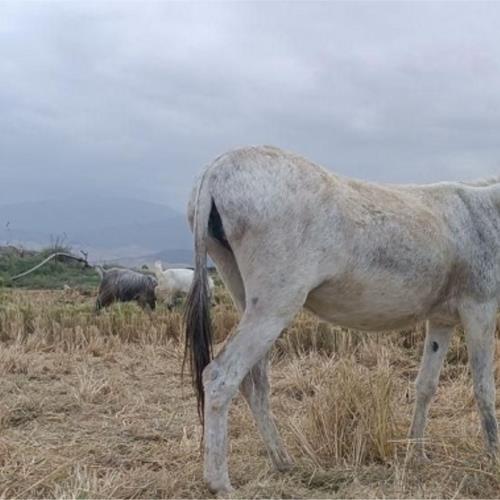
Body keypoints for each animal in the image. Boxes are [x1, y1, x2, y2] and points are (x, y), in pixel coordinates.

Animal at [185, 146, 500, 496]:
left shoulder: (442, 320)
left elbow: (426, 386)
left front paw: (416, 454)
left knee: (255, 382)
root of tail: (218, 166)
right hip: (275, 306)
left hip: (244, 295)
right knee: (220, 376)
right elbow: (484, 387)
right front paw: (493, 457)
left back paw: (282, 461)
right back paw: (220, 483)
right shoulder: (480, 309)